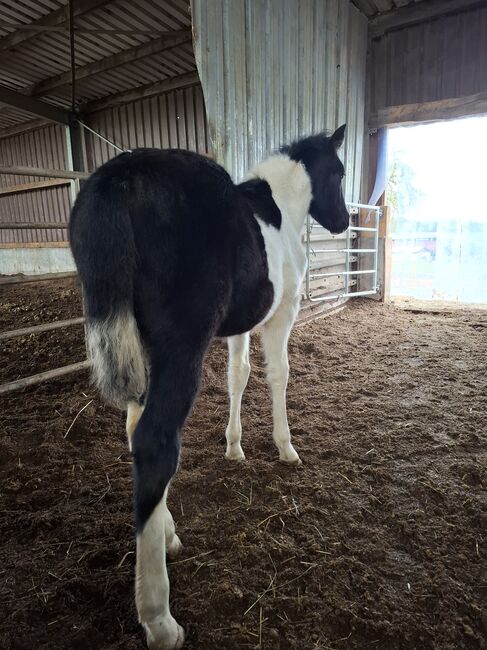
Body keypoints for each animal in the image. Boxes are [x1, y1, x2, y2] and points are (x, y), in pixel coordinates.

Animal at [68, 124, 350, 644]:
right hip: (181, 345)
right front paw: (285, 447)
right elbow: (278, 375)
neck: (279, 207)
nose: (342, 221)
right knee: (155, 442)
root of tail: (118, 180)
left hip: (143, 345)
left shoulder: (240, 325)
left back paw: (167, 533)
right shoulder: (281, 316)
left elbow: (239, 376)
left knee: (135, 429)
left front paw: (234, 447)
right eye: (339, 173)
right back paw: (159, 617)